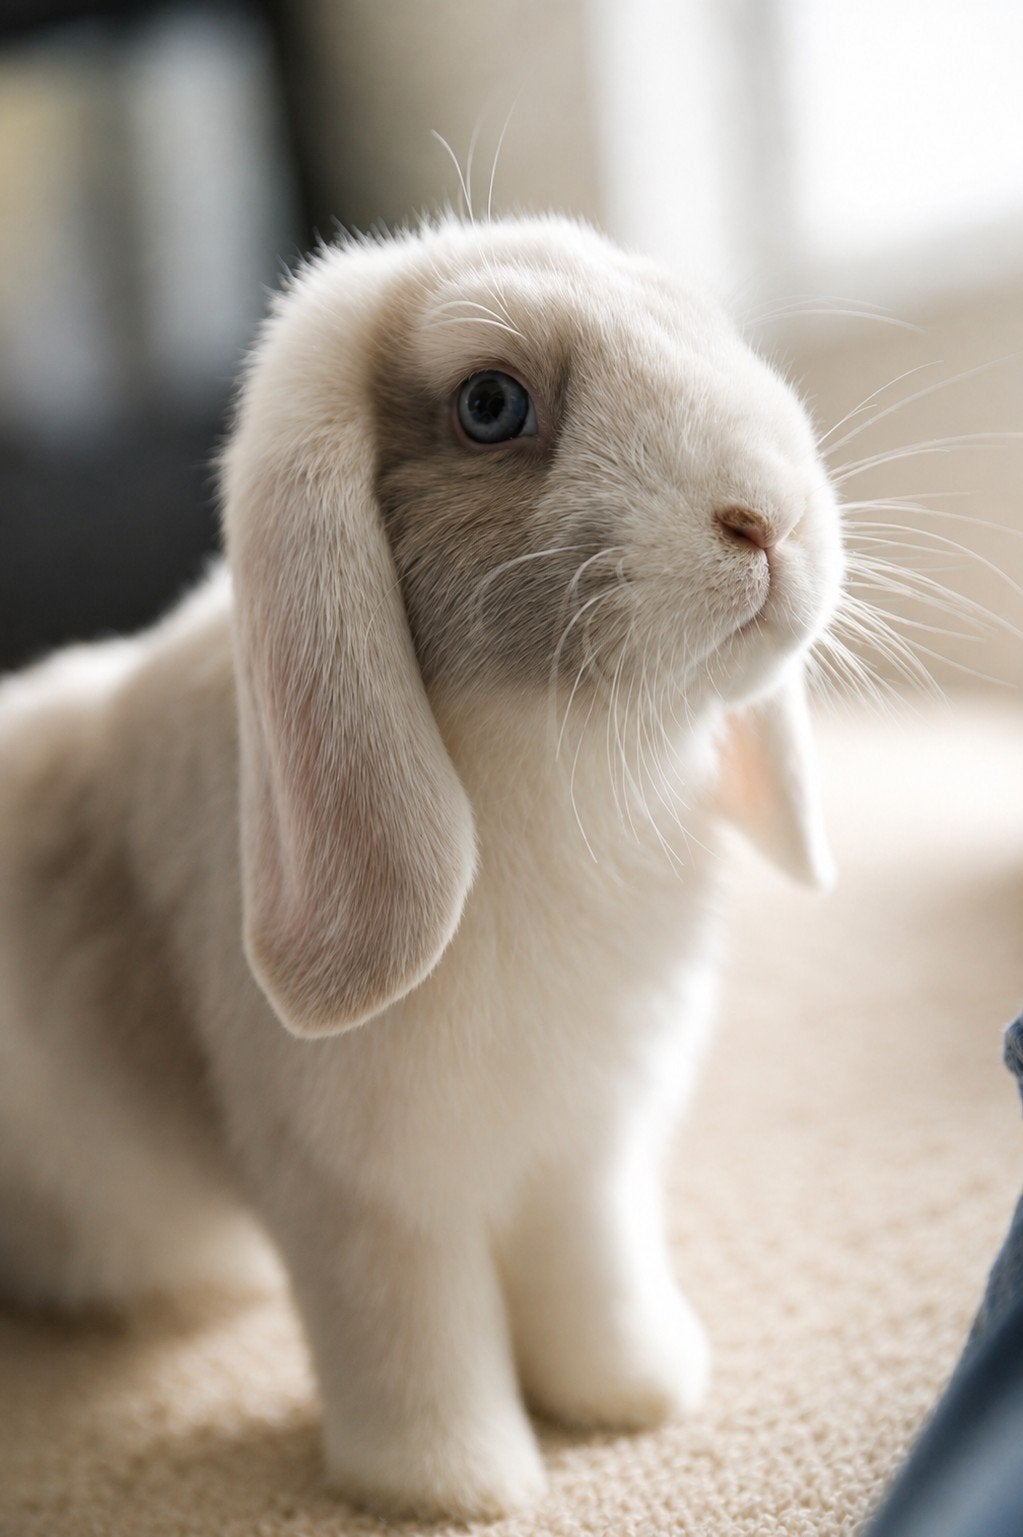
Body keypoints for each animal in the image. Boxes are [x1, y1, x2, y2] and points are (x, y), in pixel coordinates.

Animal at [0, 215, 842, 1520]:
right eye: (491, 405)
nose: (771, 516)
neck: (552, 759)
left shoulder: (586, 1154)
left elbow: (588, 1276)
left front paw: (636, 1395)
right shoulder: (365, 1197)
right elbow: (415, 1336)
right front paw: (456, 1487)